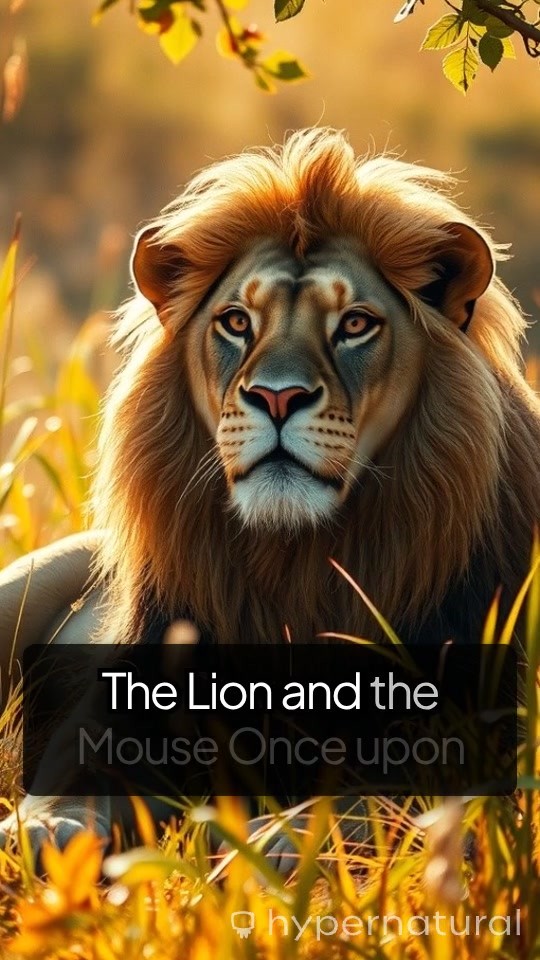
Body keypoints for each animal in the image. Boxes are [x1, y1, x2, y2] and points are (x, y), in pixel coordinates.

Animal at [1, 127, 539, 859]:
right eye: (235, 322)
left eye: (355, 325)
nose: (276, 397)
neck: (295, 562)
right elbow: (71, 775)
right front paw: (43, 827)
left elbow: (371, 801)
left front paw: (274, 840)